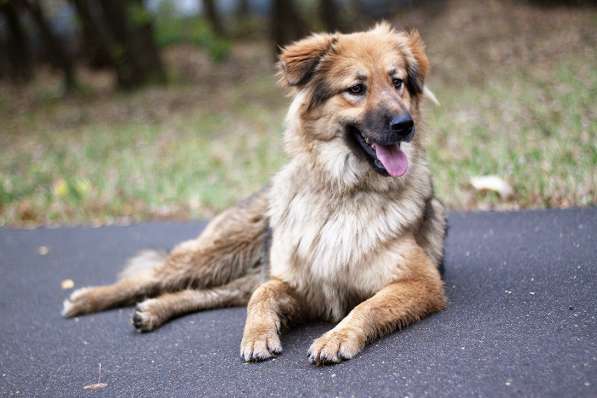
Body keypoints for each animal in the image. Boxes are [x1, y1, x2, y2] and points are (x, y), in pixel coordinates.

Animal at [65, 23, 448, 366]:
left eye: (397, 82)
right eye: (356, 88)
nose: (405, 125)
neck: (343, 192)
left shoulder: (420, 282)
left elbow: (366, 306)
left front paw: (337, 336)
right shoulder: (297, 284)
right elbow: (263, 296)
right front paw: (258, 336)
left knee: (206, 291)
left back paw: (154, 309)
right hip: (221, 251)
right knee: (155, 276)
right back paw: (87, 299)